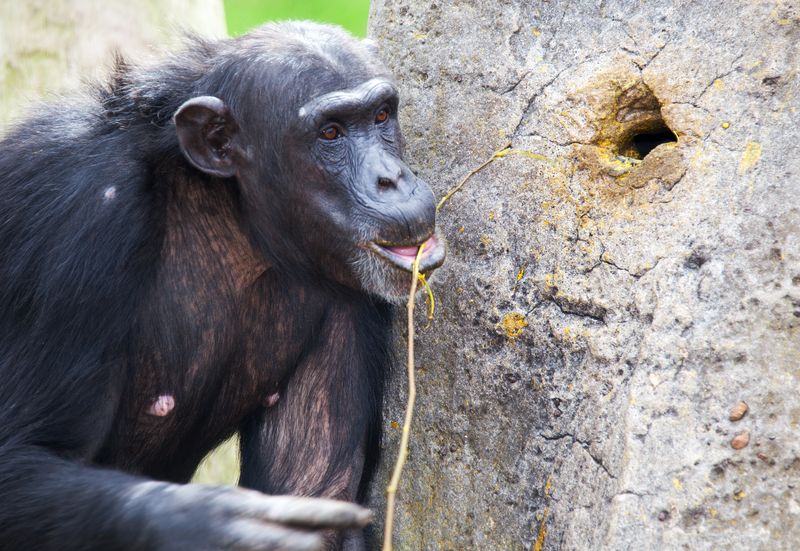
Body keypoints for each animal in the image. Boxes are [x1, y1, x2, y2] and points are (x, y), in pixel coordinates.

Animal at [0, 20, 444, 551]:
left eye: (380, 116)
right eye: (330, 133)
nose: (391, 178)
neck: (232, 213)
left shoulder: (352, 296)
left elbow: (316, 485)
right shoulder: (80, 214)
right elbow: (20, 455)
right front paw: (214, 523)